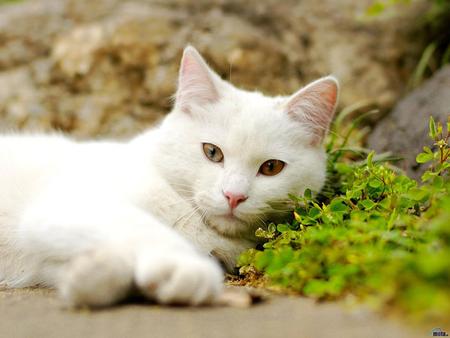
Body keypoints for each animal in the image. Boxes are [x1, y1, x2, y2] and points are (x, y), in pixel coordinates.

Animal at [0, 46, 338, 308]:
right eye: (212, 152)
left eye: (271, 168)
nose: (234, 196)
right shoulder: (68, 205)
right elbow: (142, 227)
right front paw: (184, 268)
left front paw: (91, 277)